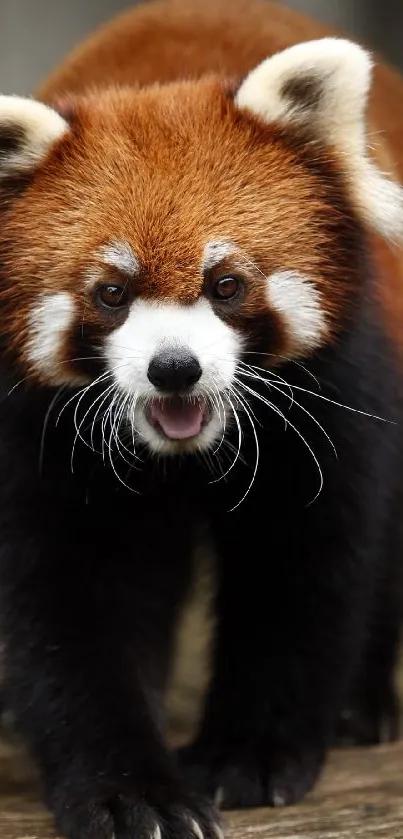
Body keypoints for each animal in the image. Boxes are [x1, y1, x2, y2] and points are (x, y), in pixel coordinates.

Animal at [0, 0, 403, 836]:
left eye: (225, 284)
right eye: (111, 292)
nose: (174, 368)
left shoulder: (337, 386)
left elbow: (302, 569)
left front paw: (246, 754)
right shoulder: (38, 428)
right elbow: (75, 598)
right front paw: (130, 791)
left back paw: (364, 702)